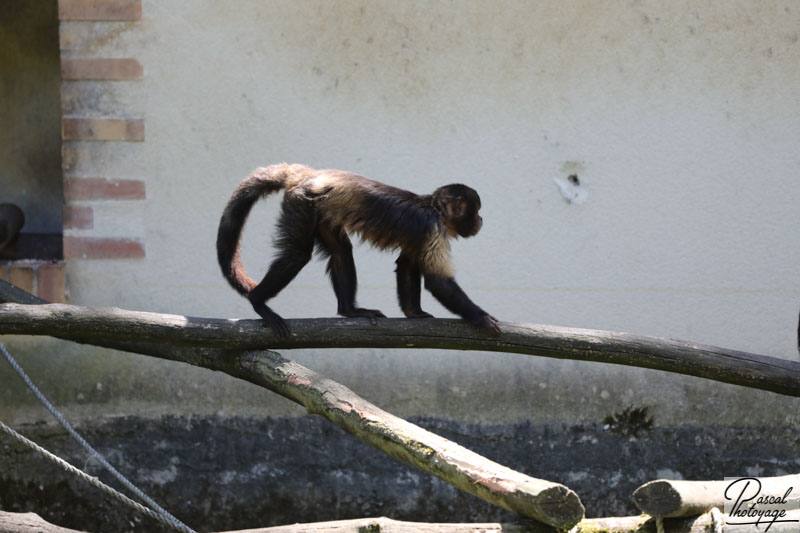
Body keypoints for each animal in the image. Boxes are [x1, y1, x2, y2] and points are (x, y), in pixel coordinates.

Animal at [216, 163, 496, 336]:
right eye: (476, 211)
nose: (482, 220)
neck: (434, 209)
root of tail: (306, 175)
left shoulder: (424, 236)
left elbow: (406, 264)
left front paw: (413, 313)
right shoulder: (433, 230)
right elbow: (439, 282)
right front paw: (480, 317)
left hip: (320, 209)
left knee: (341, 251)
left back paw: (349, 310)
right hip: (301, 202)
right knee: (298, 255)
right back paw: (258, 301)